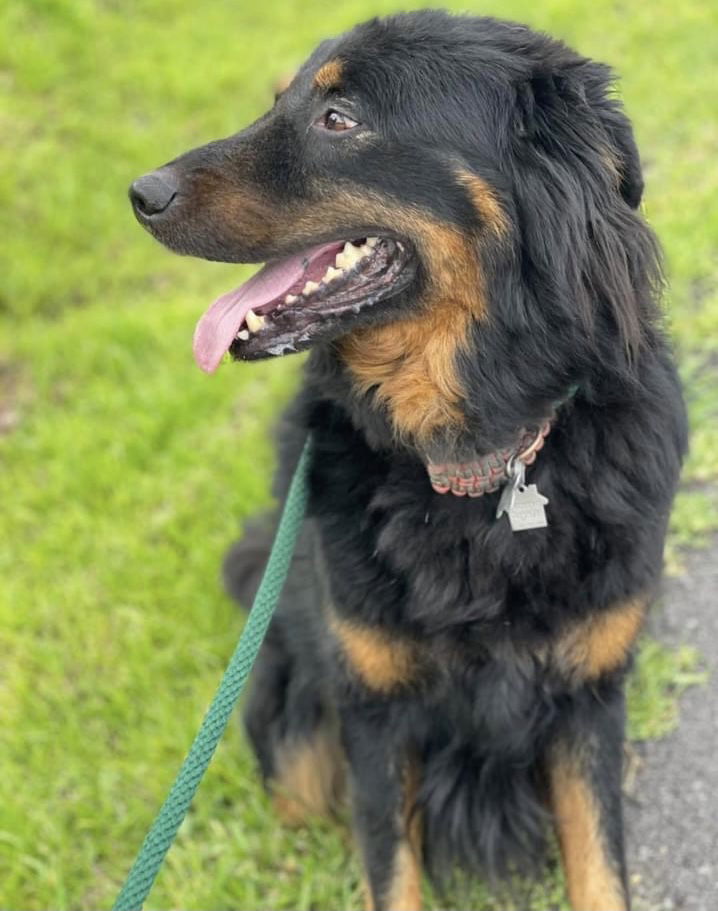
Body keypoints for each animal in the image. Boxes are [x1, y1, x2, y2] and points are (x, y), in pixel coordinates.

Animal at [131, 8, 692, 911]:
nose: (141, 194)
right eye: (280, 103)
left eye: (339, 119)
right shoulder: (372, 710)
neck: (476, 457)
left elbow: (600, 866)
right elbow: (389, 867)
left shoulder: (590, 696)